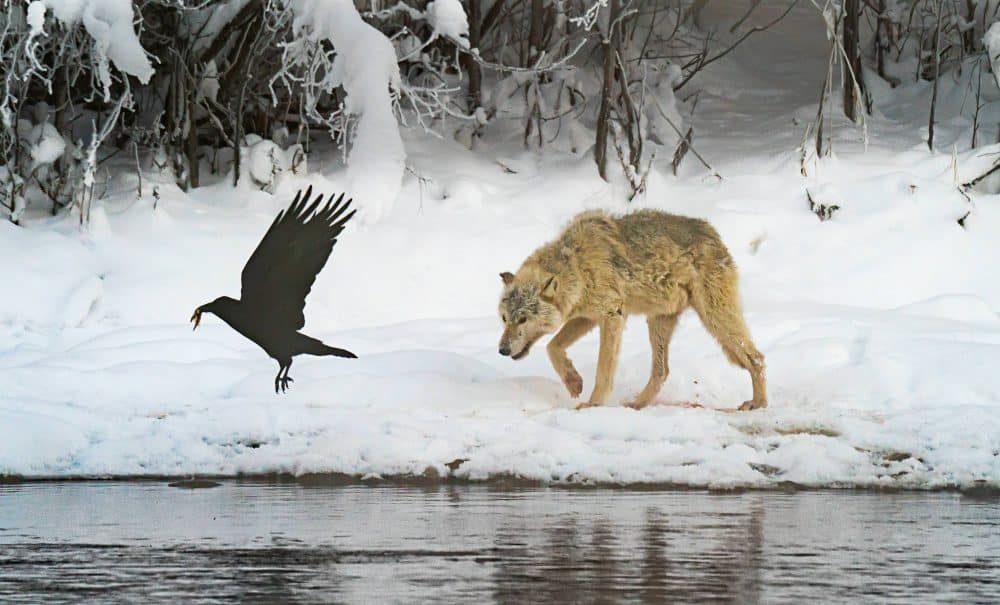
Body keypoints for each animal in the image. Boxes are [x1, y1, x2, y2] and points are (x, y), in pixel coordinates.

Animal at [497, 209, 766, 411]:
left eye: (523, 319)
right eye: (504, 318)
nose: (502, 350)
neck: (577, 265)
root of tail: (713, 233)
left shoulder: (612, 314)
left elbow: (603, 370)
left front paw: (593, 404)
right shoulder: (587, 318)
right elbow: (553, 347)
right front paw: (573, 382)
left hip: (715, 319)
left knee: (757, 358)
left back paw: (759, 404)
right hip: (658, 323)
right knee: (662, 371)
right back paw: (637, 405)